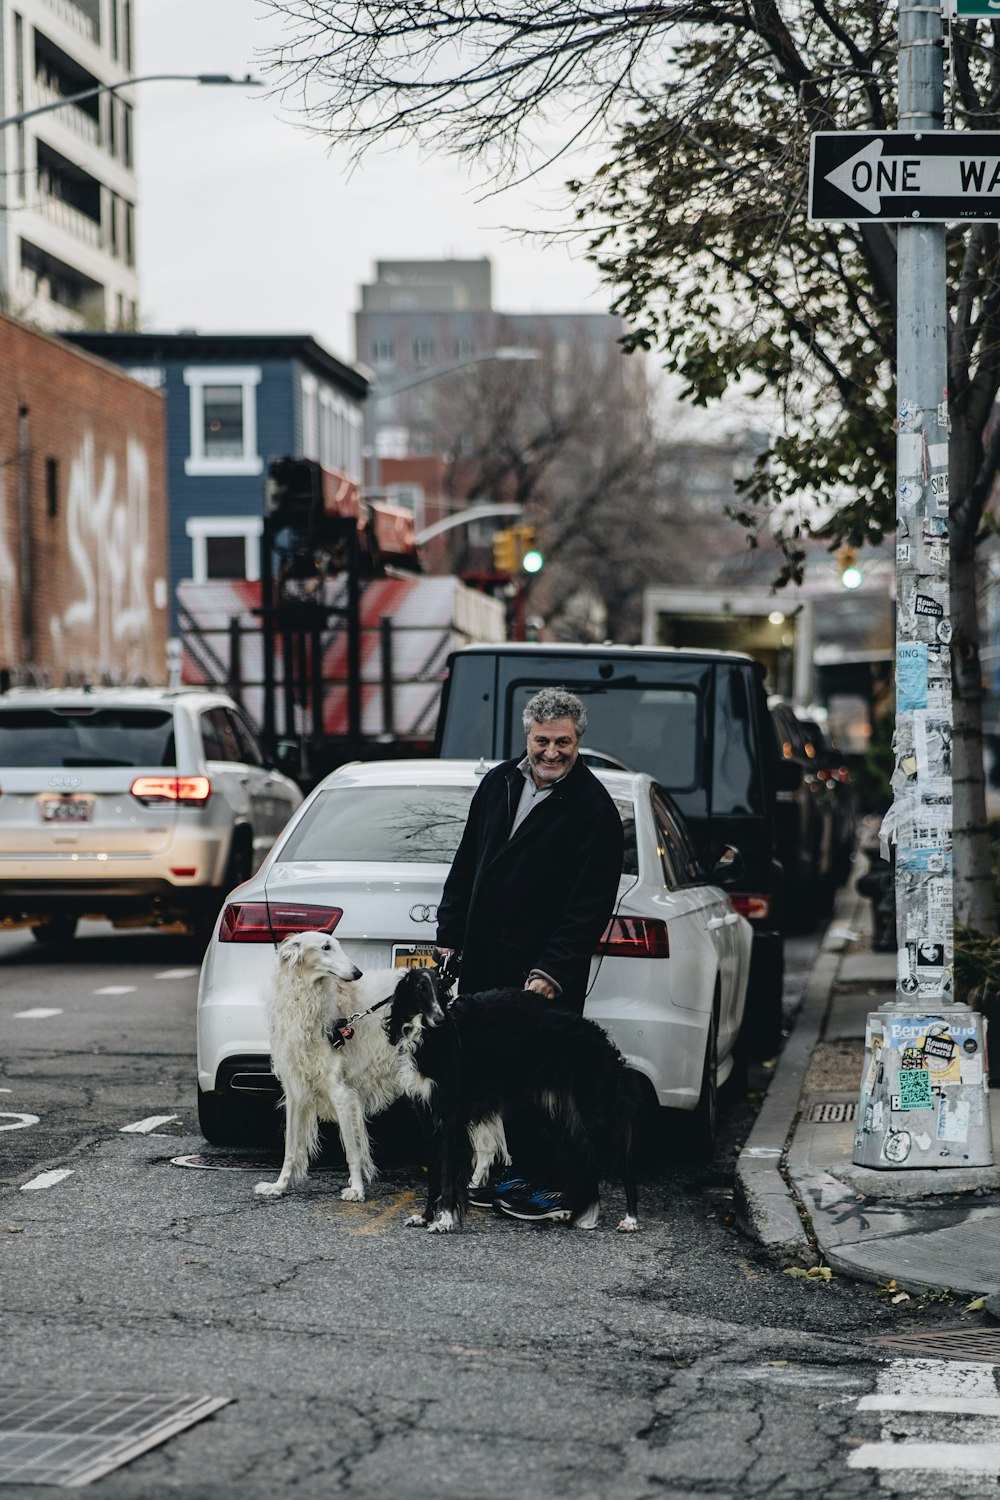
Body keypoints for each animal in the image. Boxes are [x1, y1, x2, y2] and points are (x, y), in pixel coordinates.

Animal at [256, 930, 509, 1200]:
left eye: (337, 945)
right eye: (325, 947)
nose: (357, 973)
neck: (307, 1002)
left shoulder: (340, 1092)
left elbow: (353, 1152)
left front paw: (356, 1189)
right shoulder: (296, 1090)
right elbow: (291, 1148)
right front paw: (278, 1186)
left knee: (487, 1145)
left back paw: (471, 1188)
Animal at [386, 966, 638, 1236]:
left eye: (440, 986)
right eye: (420, 987)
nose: (440, 1018)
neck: (430, 1036)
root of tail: (601, 1039)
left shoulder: (450, 1116)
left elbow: (446, 1175)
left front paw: (444, 1220)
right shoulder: (426, 1115)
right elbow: (434, 1174)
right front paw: (424, 1217)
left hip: (597, 1112)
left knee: (625, 1164)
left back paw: (630, 1219)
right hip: (563, 1116)